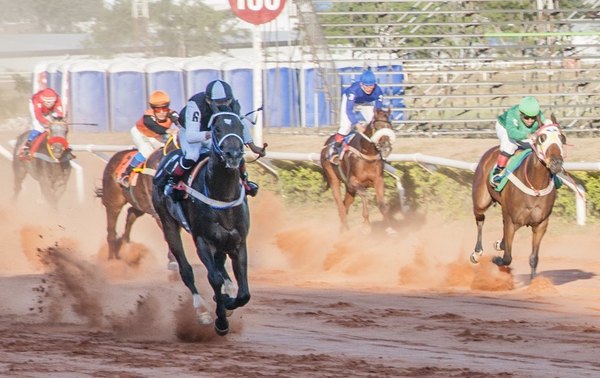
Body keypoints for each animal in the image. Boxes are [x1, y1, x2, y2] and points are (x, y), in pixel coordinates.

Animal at [154, 110, 252, 336]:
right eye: (217, 129)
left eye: (240, 127)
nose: (234, 154)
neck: (223, 195)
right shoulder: (202, 241)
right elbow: (213, 278)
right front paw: (221, 321)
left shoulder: (238, 242)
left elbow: (244, 292)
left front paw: (228, 300)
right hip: (168, 224)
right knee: (186, 269)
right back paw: (202, 310)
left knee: (220, 266)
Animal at [322, 106, 396, 235]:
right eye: (378, 127)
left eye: (390, 127)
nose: (386, 147)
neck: (367, 153)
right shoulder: (353, 182)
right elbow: (364, 195)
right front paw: (366, 225)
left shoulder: (378, 180)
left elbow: (382, 204)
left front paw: (389, 228)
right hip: (333, 178)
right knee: (340, 206)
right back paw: (346, 231)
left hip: (349, 189)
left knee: (345, 205)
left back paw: (343, 230)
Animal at [472, 119, 564, 280]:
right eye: (542, 138)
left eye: (562, 138)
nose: (556, 163)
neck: (535, 185)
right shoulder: (512, 221)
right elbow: (507, 258)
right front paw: (496, 259)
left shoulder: (541, 224)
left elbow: (534, 258)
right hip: (481, 201)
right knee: (480, 219)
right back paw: (477, 253)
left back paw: (499, 244)